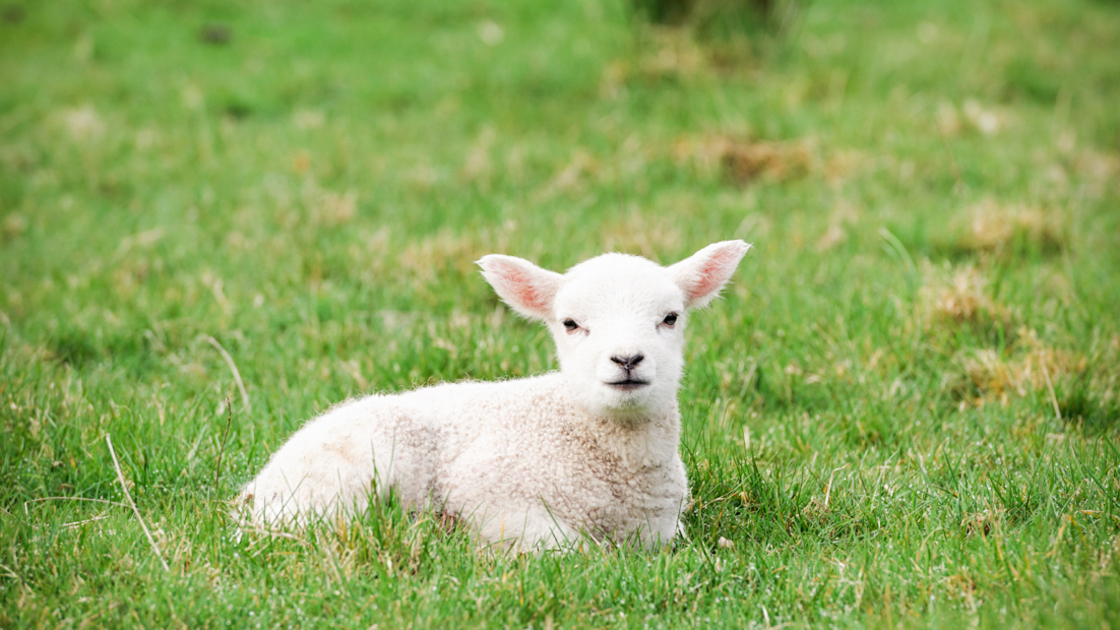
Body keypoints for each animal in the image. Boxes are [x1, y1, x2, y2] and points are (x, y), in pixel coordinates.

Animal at [243, 239, 752, 549]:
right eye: (570, 323)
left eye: (670, 317)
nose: (627, 359)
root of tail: (257, 489)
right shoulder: (489, 489)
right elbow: (568, 549)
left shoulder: (663, 527)